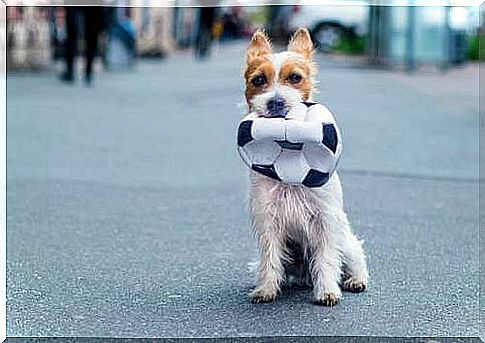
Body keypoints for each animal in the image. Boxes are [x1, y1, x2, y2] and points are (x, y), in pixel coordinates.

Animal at [242, 27, 366, 306]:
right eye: (258, 80)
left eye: (295, 78)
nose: (275, 102)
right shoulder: (268, 219)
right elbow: (270, 258)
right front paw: (266, 289)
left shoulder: (325, 219)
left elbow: (327, 258)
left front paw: (328, 291)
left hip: (346, 240)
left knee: (355, 258)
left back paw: (356, 280)